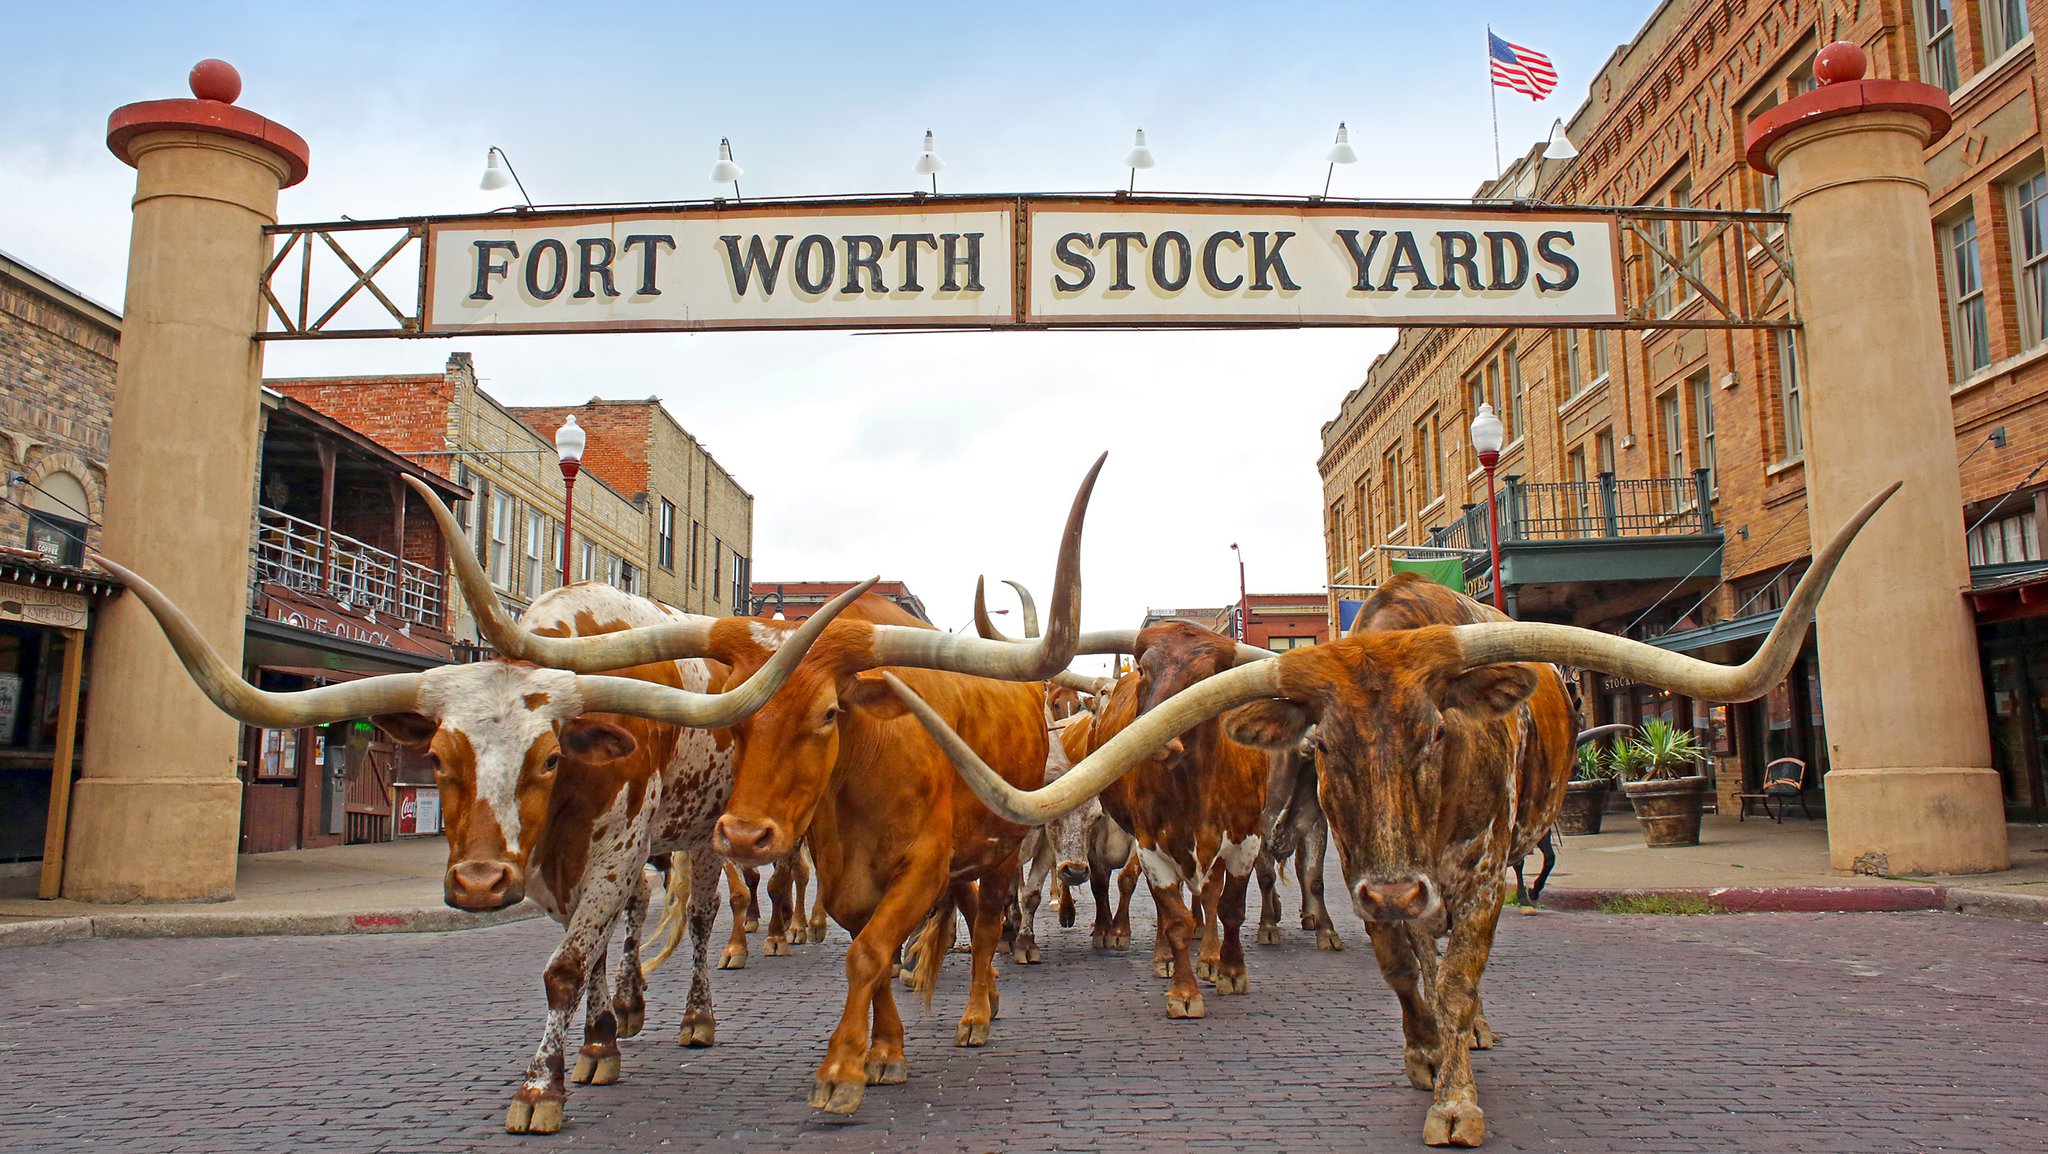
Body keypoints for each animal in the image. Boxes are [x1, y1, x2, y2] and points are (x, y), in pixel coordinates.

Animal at [888, 485, 1892, 1147]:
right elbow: (1367, 965)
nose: (1154, 735)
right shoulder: (1347, 872)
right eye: (1325, 746)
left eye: (1436, 733)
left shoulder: (1460, 873)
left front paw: (1452, 1091)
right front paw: (1190, 987)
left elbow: (1444, 976)